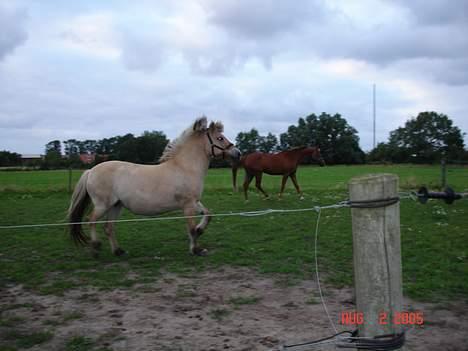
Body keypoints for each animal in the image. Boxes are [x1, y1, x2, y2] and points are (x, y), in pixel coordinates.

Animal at [68, 117, 241, 258]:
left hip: (116, 205)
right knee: (91, 221)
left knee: (108, 227)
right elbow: (191, 228)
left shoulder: (194, 202)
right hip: (103, 205)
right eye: (220, 138)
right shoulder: (187, 205)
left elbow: (208, 214)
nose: (237, 153)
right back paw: (96, 247)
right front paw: (196, 249)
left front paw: (200, 231)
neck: (185, 167)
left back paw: (118, 251)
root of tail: (91, 171)